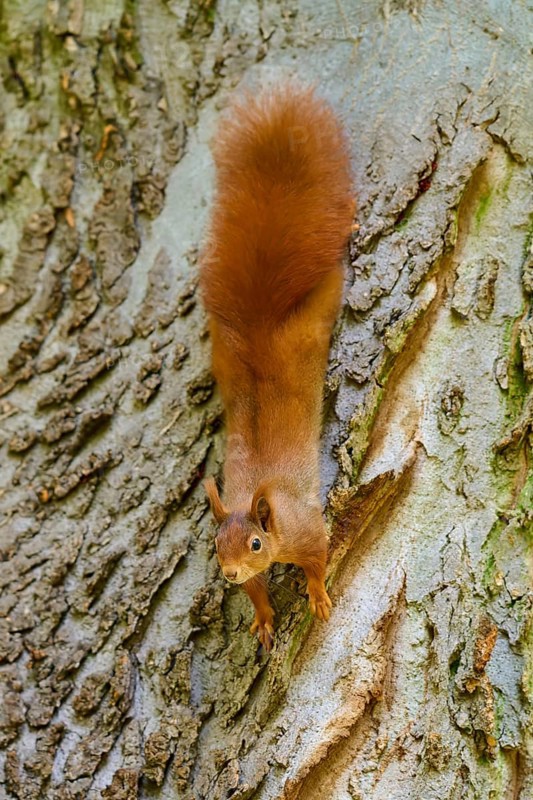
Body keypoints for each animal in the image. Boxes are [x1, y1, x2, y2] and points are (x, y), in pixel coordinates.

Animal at [200, 84, 354, 651]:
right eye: (215, 545)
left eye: (256, 542)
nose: (227, 573)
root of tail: (262, 329)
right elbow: (257, 593)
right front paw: (264, 617)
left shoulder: (308, 529)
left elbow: (318, 559)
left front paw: (318, 595)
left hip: (319, 309)